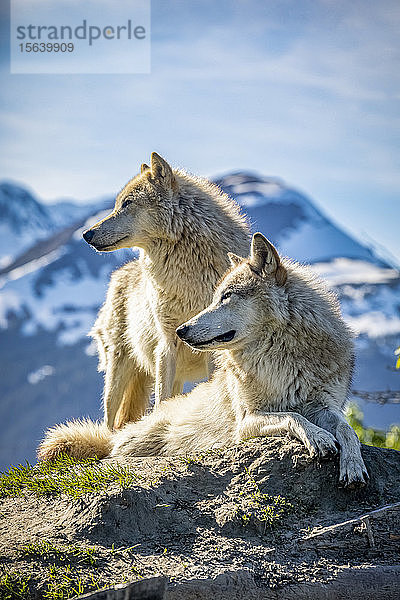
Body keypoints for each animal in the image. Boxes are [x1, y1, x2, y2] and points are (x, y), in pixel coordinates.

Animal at [37, 232, 368, 486]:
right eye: (214, 296)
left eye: (226, 297)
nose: (181, 330)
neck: (282, 358)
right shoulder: (246, 422)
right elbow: (292, 416)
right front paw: (319, 438)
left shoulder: (325, 407)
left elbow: (347, 429)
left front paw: (353, 465)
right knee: (110, 452)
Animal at [81, 152, 250, 428]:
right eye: (117, 204)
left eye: (126, 203)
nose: (86, 233)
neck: (187, 275)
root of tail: (119, 273)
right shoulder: (167, 343)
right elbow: (161, 400)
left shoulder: (212, 350)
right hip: (117, 373)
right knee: (109, 421)